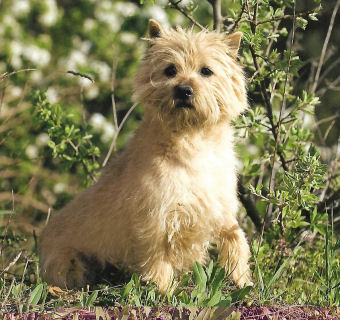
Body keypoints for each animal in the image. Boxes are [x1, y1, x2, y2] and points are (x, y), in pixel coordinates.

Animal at [40, 18, 252, 292]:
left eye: (206, 71)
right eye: (170, 70)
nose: (183, 90)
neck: (192, 141)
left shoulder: (221, 207)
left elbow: (236, 238)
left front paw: (241, 279)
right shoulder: (156, 218)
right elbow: (158, 257)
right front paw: (164, 289)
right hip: (70, 263)